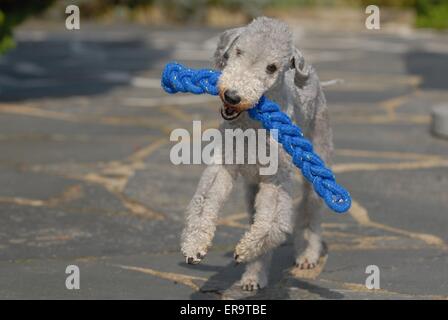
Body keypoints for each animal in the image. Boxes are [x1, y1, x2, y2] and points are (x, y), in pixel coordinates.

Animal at [179, 16, 332, 292]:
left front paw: (246, 250)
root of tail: (312, 73)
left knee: (310, 211)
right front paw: (195, 246)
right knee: (255, 216)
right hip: (252, 187)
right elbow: (204, 203)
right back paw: (253, 276)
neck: (251, 123)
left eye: (272, 67)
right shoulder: (224, 164)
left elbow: (271, 224)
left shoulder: (275, 179)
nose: (232, 96)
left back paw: (306, 255)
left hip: (316, 161)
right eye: (238, 52)